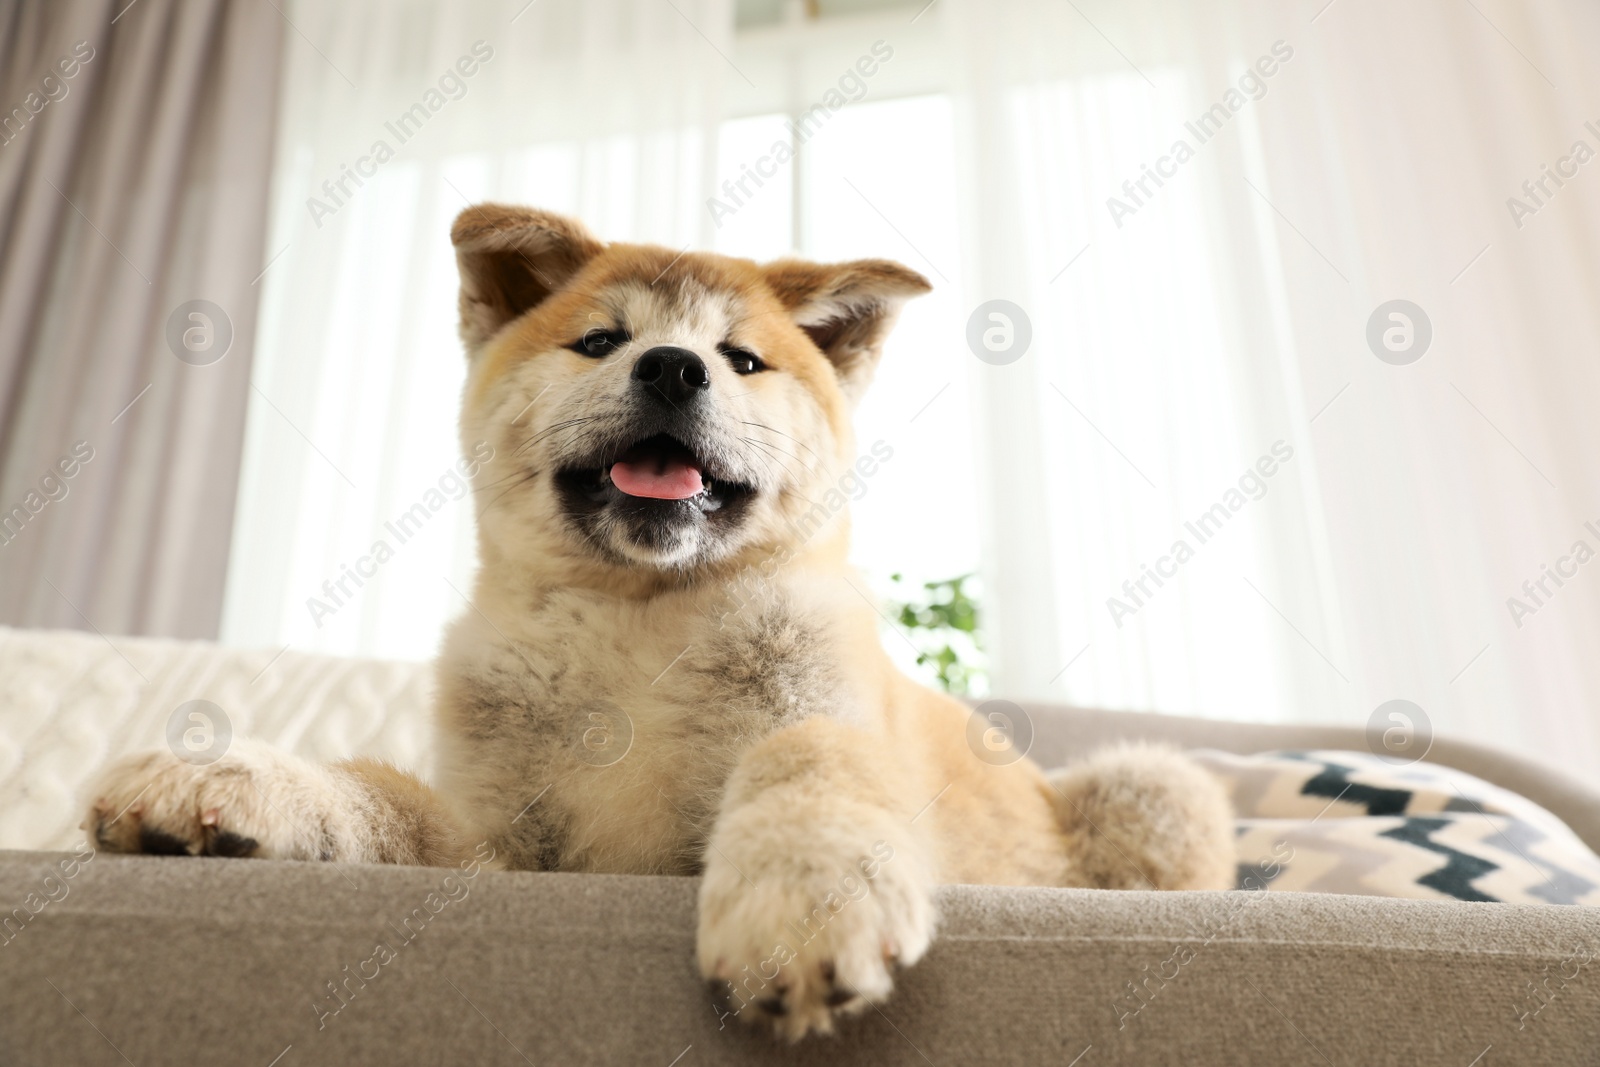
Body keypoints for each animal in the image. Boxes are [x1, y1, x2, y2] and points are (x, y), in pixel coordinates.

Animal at [87, 204, 1228, 1036]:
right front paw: (234, 781)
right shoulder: (500, 846)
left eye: (743, 359)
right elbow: (380, 794)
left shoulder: (815, 719)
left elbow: (806, 758)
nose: (674, 367)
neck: (636, 623)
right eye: (601, 340)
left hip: (1154, 783)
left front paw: (803, 896)